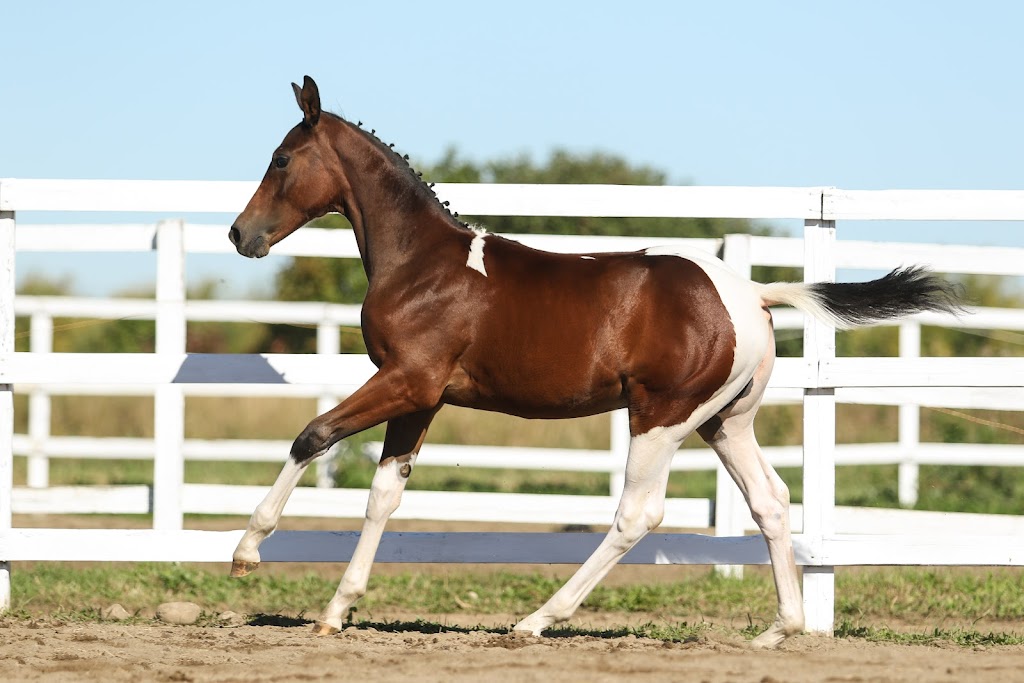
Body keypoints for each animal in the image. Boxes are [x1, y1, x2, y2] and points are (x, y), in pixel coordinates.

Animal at [226, 77, 966, 651]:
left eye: (282, 158)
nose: (240, 234)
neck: (422, 265)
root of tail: (752, 295)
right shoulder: (422, 398)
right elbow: (384, 494)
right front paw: (335, 611)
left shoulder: (406, 380)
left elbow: (312, 435)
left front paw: (247, 551)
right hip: (725, 422)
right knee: (771, 501)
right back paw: (780, 627)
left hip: (661, 417)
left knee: (638, 515)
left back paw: (535, 620)